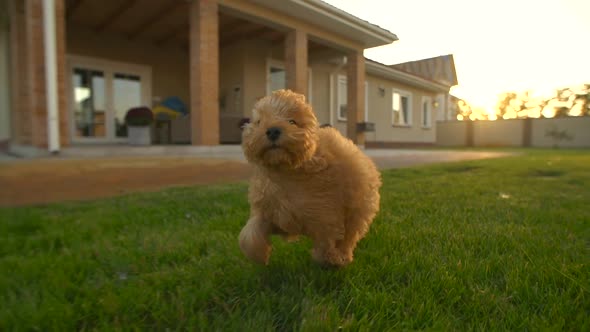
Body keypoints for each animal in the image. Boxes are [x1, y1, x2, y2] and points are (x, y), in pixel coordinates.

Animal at [240, 89, 384, 266]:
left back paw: (343, 256)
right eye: (259, 122)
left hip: (358, 208)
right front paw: (259, 255)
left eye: (292, 121)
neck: (284, 172)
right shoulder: (267, 209)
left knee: (349, 236)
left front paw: (330, 258)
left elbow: (326, 239)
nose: (273, 130)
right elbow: (250, 233)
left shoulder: (325, 213)